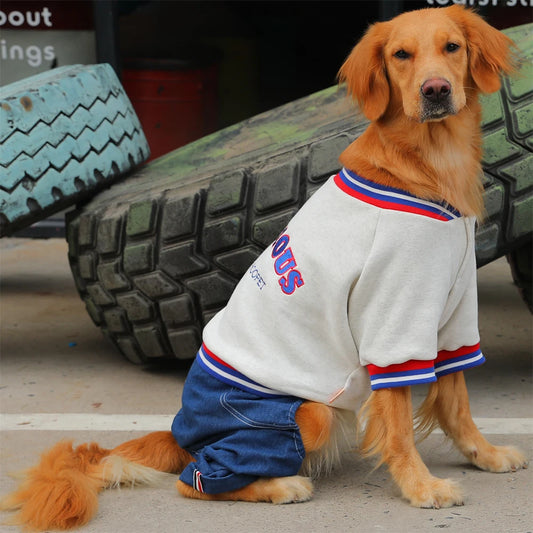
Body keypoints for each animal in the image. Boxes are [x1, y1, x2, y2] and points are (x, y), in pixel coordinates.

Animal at [0, 6, 524, 528]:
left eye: (452, 47)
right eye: (401, 55)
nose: (435, 90)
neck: (431, 164)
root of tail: (179, 430)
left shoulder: (452, 313)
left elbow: (457, 403)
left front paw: (485, 455)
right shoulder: (394, 321)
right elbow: (398, 427)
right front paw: (420, 486)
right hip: (305, 415)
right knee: (195, 479)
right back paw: (279, 484)